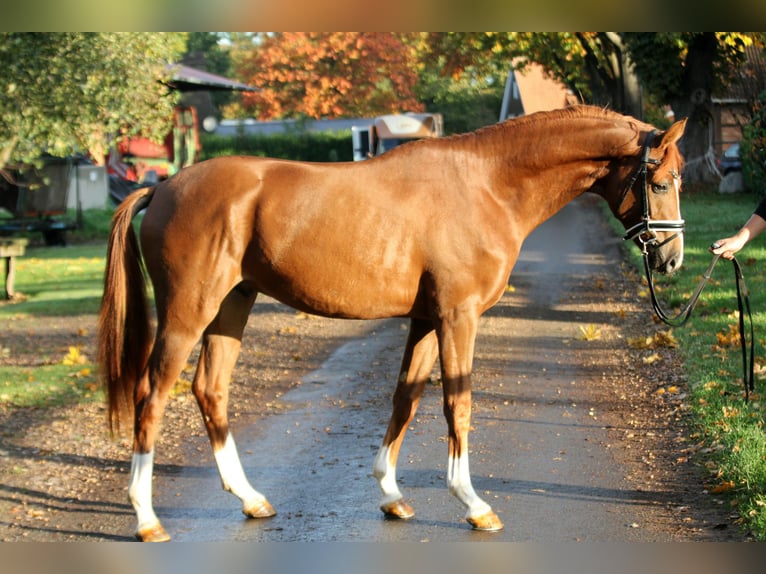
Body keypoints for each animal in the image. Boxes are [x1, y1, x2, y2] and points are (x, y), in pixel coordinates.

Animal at [97, 106, 688, 544]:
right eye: (661, 182)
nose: (672, 259)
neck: (488, 185)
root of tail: (164, 186)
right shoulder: (457, 316)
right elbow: (457, 402)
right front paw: (473, 504)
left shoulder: (426, 319)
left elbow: (406, 396)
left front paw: (391, 495)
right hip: (187, 312)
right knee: (153, 394)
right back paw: (146, 518)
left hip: (232, 305)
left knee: (210, 390)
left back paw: (251, 499)